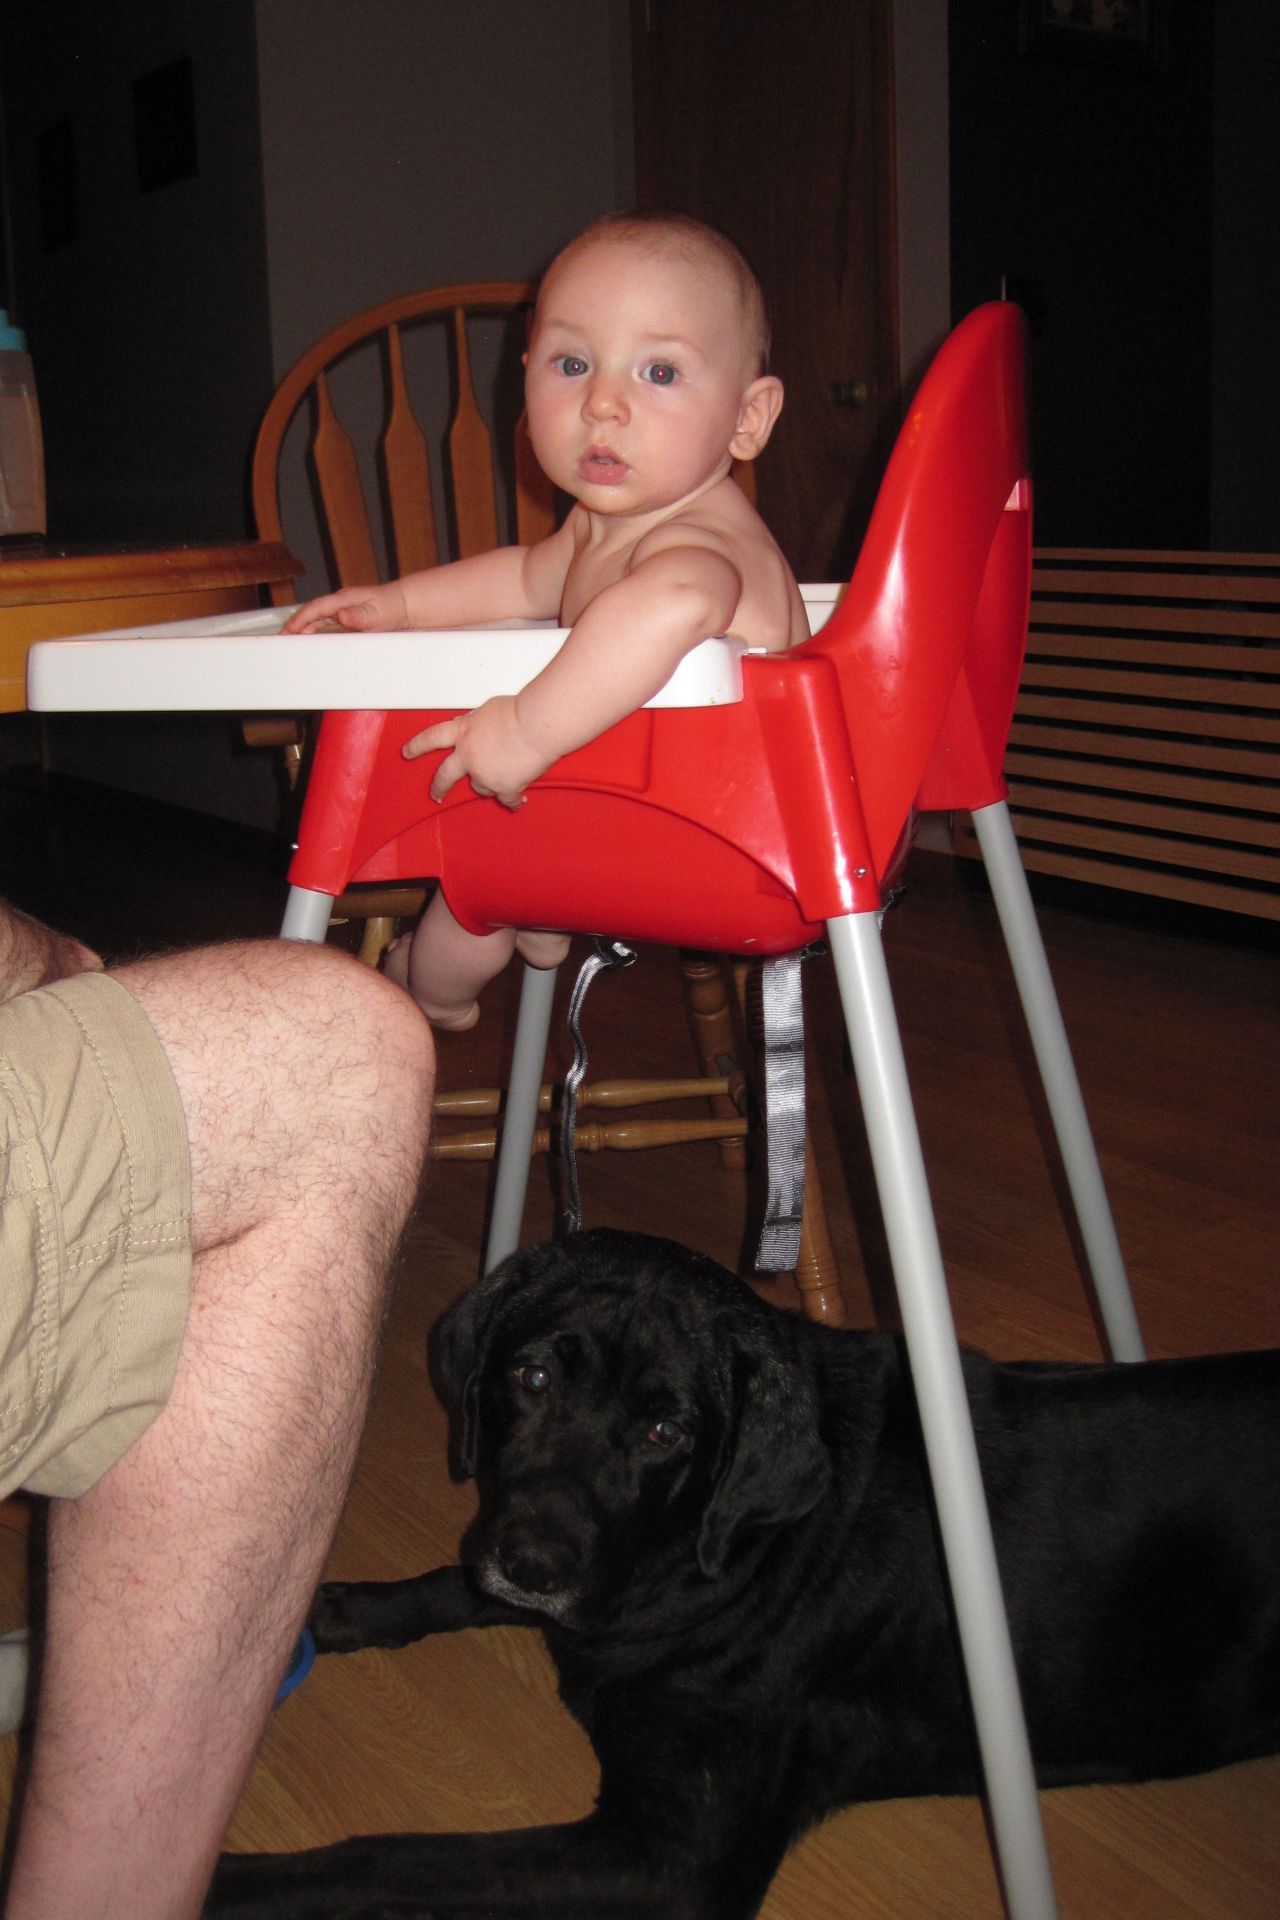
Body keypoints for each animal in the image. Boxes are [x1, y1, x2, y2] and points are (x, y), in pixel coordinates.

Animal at [208, 1228, 1280, 1918]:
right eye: (532, 1377)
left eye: (665, 1431)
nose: (534, 1563)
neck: (706, 1555)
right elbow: (452, 1583)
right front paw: (339, 1607)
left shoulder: (671, 1855)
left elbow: (404, 1859)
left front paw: (233, 1878)